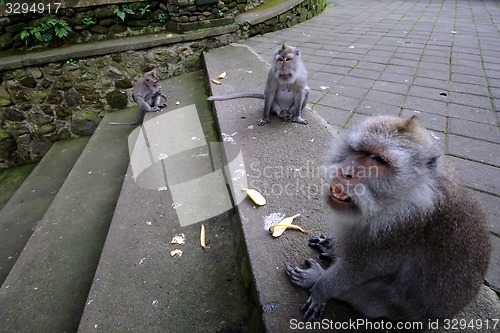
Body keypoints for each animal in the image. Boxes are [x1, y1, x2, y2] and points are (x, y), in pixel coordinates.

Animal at [288, 116, 490, 322]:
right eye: (360, 151)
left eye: (380, 160)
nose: (345, 171)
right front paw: (331, 245)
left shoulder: (396, 233)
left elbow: (358, 270)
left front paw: (320, 289)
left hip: (396, 308)